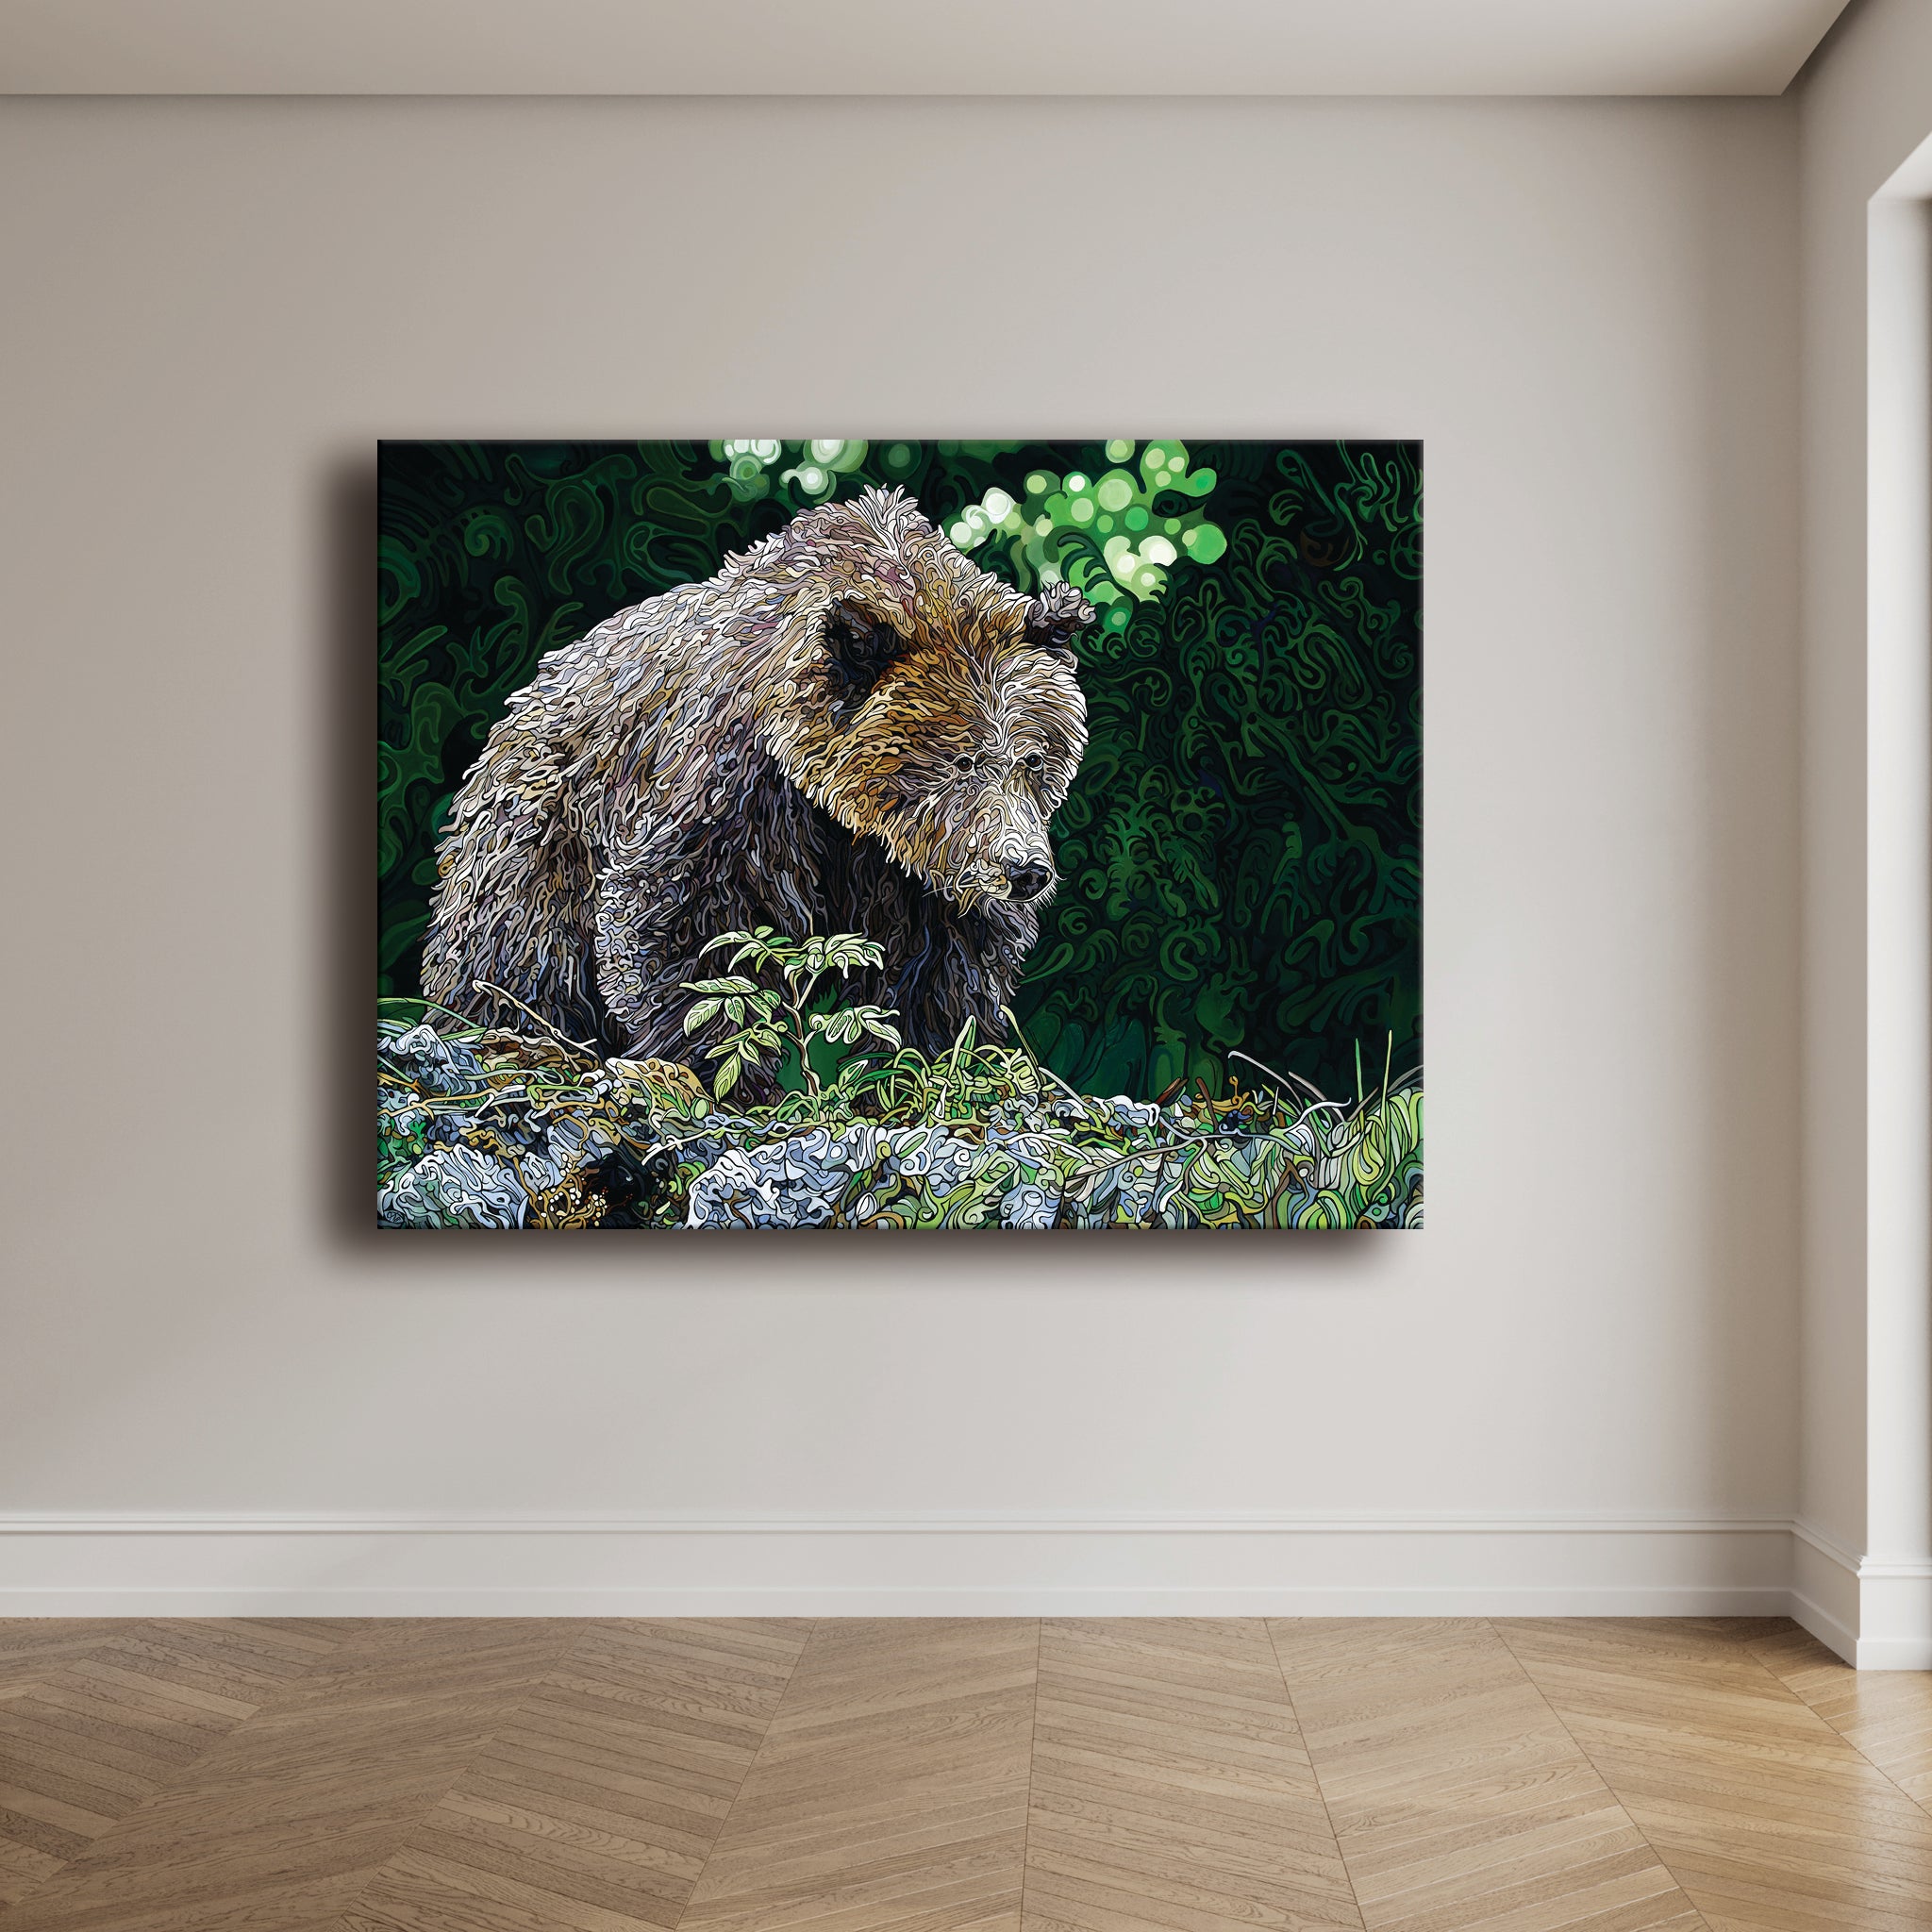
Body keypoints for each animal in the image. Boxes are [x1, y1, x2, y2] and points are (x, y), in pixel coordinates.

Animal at [421, 485, 1094, 1078]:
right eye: (959, 761)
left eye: (1035, 760)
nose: (1026, 870)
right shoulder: (738, 790)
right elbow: (693, 922)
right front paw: (728, 1066)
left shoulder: (917, 875)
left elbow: (946, 964)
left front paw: (934, 1062)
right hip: (542, 834)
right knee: (518, 952)